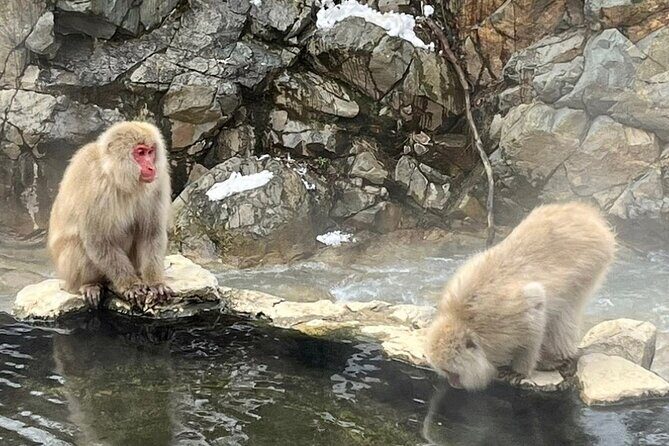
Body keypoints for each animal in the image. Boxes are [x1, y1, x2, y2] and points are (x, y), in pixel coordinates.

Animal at [47, 121, 172, 311]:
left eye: (151, 152)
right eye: (140, 152)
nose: (151, 167)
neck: (117, 176)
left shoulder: (158, 183)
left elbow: (151, 233)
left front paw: (155, 283)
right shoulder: (94, 188)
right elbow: (98, 241)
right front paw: (131, 285)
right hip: (67, 271)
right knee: (78, 244)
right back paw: (89, 284)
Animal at [425, 202, 616, 390]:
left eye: (452, 372)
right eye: (445, 371)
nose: (452, 383)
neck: (463, 318)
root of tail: (585, 213)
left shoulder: (506, 316)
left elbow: (536, 307)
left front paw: (519, 369)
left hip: (592, 261)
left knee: (567, 308)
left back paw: (557, 357)